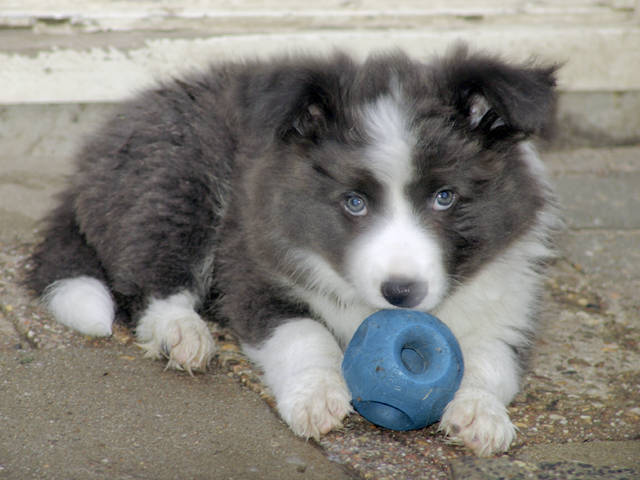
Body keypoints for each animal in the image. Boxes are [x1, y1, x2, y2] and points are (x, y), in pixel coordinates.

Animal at [26, 45, 559, 457]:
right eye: (354, 202)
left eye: (444, 197)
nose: (401, 293)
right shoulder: (255, 271)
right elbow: (305, 333)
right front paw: (316, 396)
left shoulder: (509, 304)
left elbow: (491, 358)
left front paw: (480, 415)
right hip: (176, 183)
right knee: (153, 278)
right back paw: (182, 334)